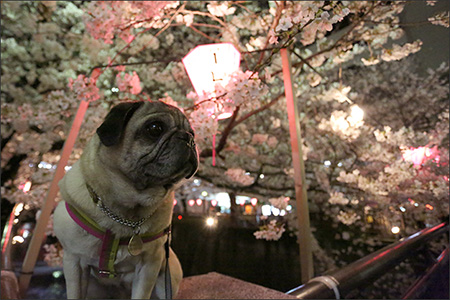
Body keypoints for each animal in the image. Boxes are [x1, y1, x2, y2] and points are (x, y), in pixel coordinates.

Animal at [53, 99, 198, 298]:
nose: (189, 138)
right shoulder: (74, 263)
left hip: (166, 278)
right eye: (155, 128)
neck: (126, 210)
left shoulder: (149, 266)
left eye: (192, 133)